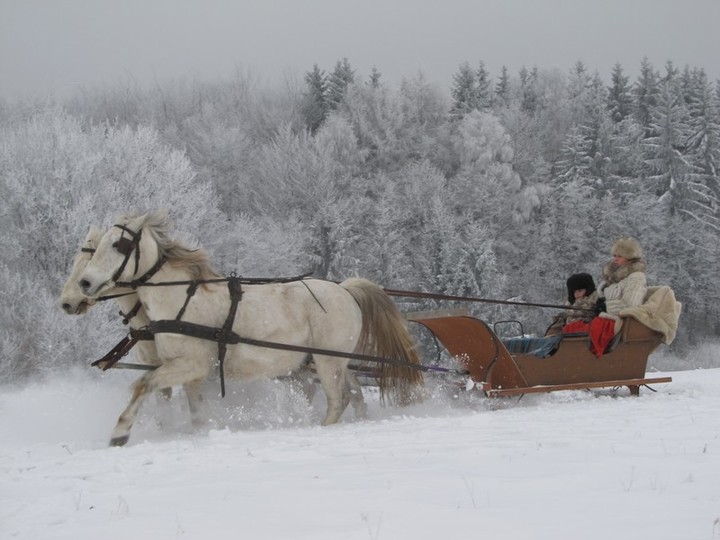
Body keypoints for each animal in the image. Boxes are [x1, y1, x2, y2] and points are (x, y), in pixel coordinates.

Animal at [78, 211, 422, 448]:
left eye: (119, 245)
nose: (85, 283)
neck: (181, 299)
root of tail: (345, 289)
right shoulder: (191, 372)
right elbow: (194, 410)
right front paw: (200, 431)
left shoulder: (191, 364)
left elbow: (142, 384)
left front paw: (120, 432)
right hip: (334, 361)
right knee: (355, 393)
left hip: (327, 361)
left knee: (339, 399)